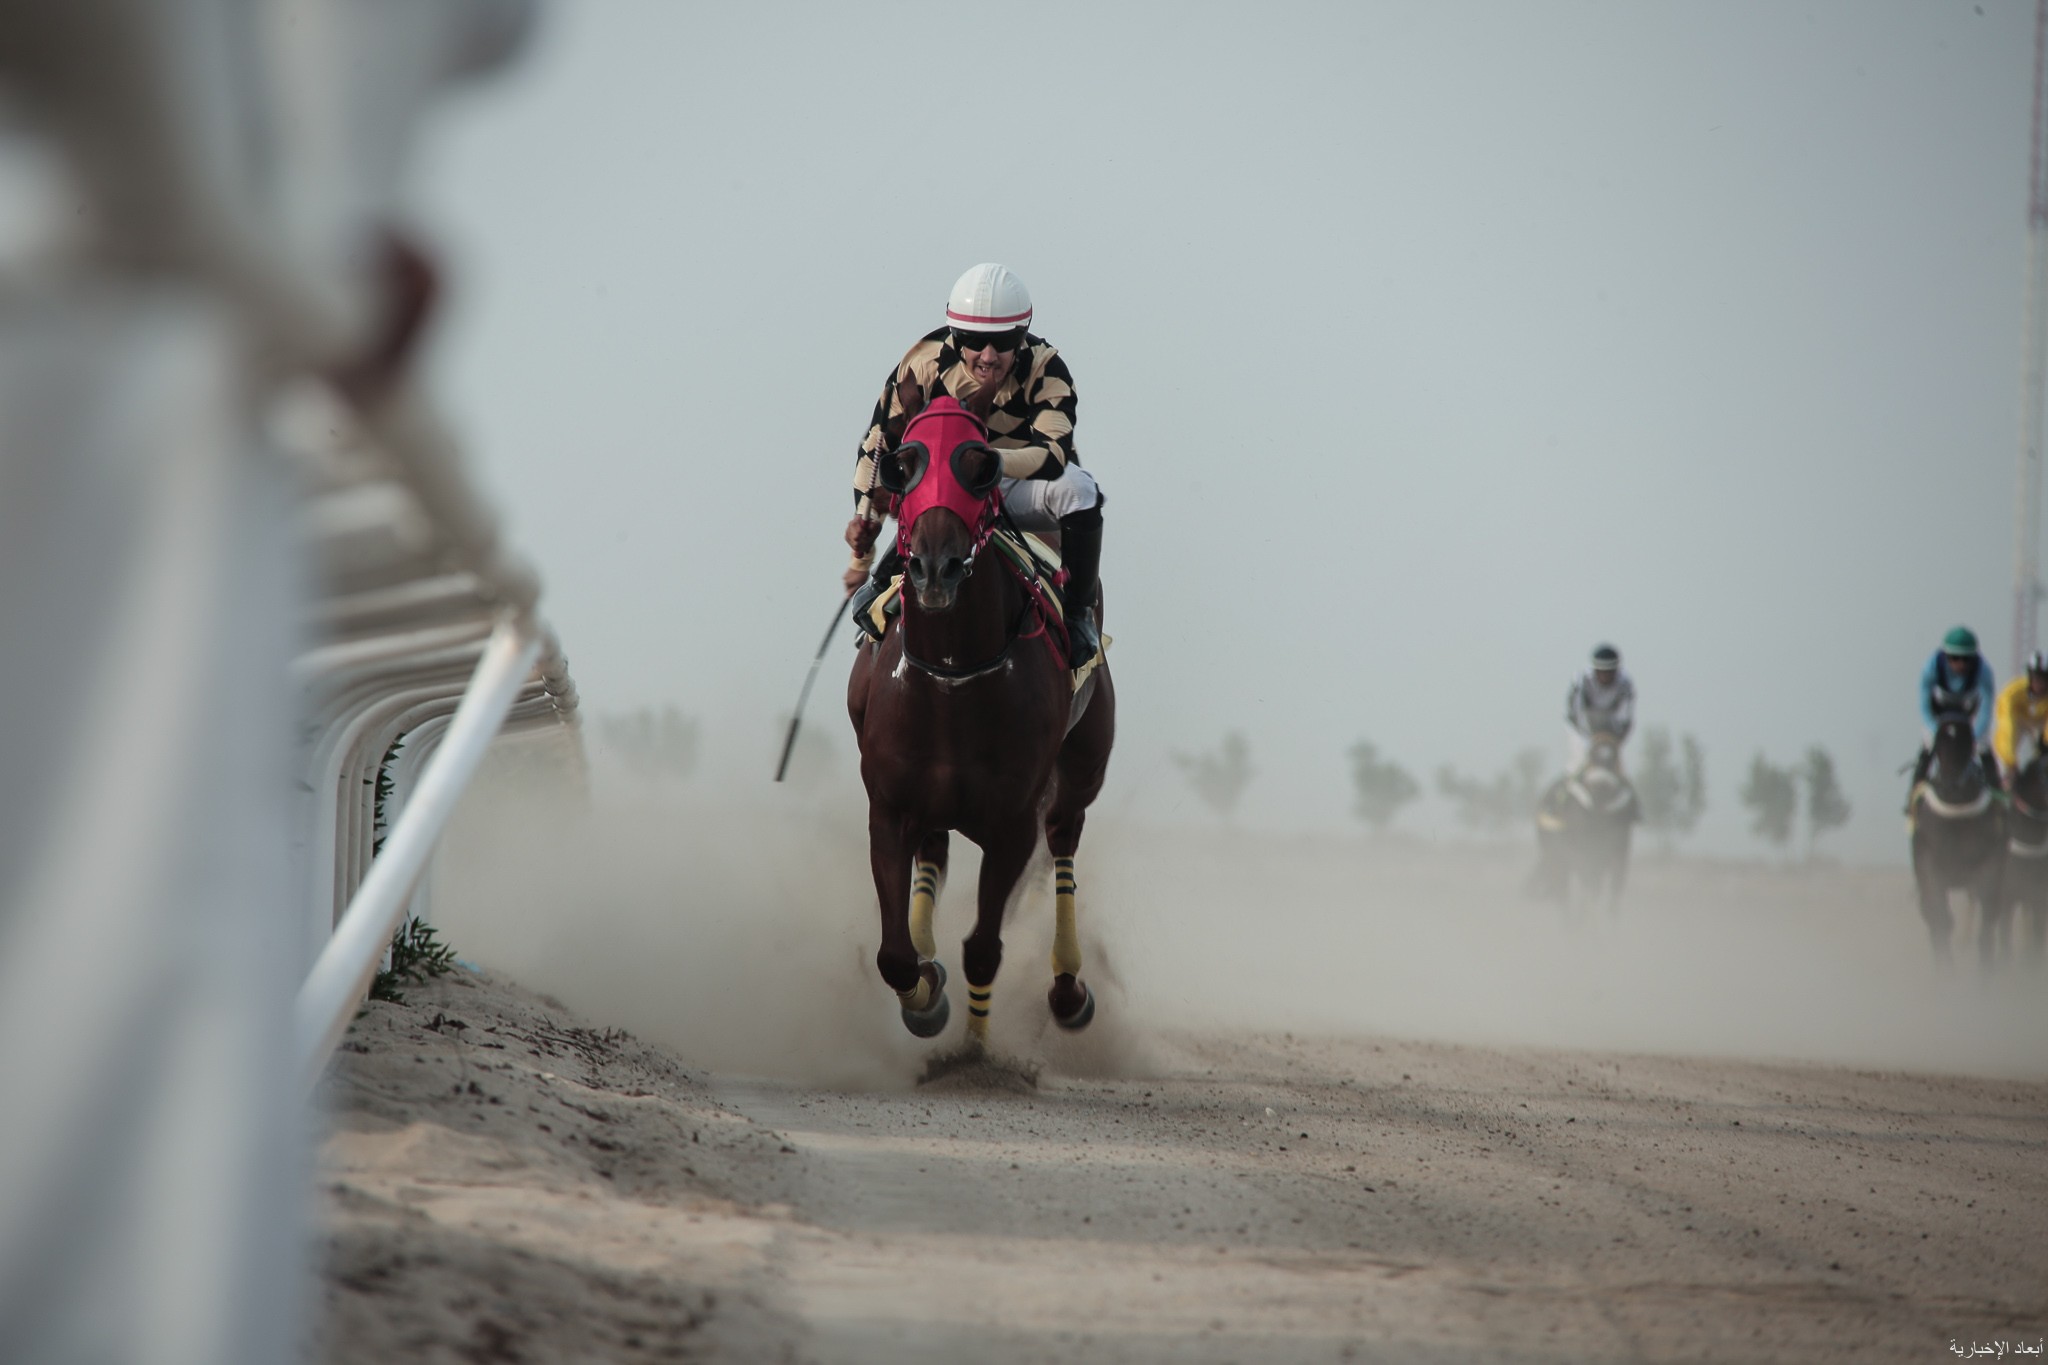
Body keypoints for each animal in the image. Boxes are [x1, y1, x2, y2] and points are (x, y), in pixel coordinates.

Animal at [839, 394, 1114, 1047]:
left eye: (978, 466)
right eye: (904, 466)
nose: (934, 568)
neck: (953, 679)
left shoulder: (1013, 823)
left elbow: (984, 949)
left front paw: (973, 1053)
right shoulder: (891, 807)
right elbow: (894, 956)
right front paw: (924, 997)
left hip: (1084, 765)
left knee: (1064, 836)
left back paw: (1068, 988)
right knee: (936, 851)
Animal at [1531, 736, 1638, 916]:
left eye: (1614, 759)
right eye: (1593, 756)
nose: (1601, 789)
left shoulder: (1617, 853)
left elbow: (1609, 893)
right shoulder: (1579, 853)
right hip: (1560, 860)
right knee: (1566, 893)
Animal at [1908, 712, 2007, 965]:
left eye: (1969, 741)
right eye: (1938, 744)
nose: (1952, 785)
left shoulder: (1990, 863)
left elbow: (1987, 917)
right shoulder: (1929, 864)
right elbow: (1939, 917)